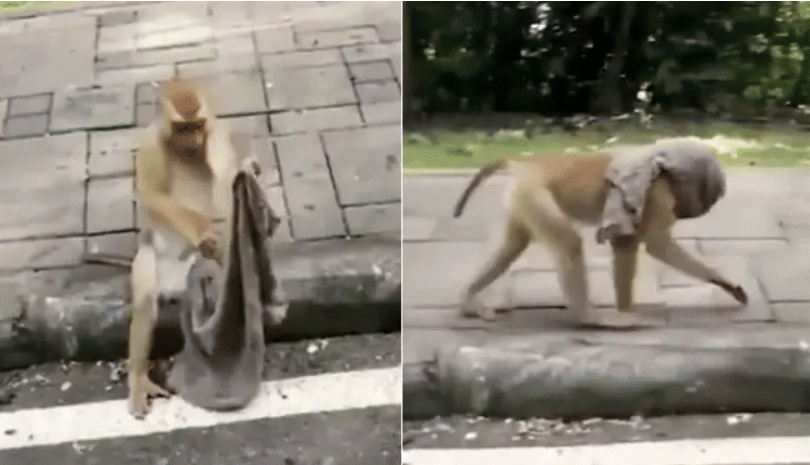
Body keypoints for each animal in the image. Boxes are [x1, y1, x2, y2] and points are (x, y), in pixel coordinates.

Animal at [453, 151, 748, 328]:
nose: (703, 208)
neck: (664, 174)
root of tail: (525, 163)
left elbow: (658, 246)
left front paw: (726, 283)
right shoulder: (658, 199)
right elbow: (636, 243)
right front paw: (626, 315)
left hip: (522, 198)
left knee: (512, 246)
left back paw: (468, 302)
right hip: (533, 192)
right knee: (568, 242)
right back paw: (590, 317)